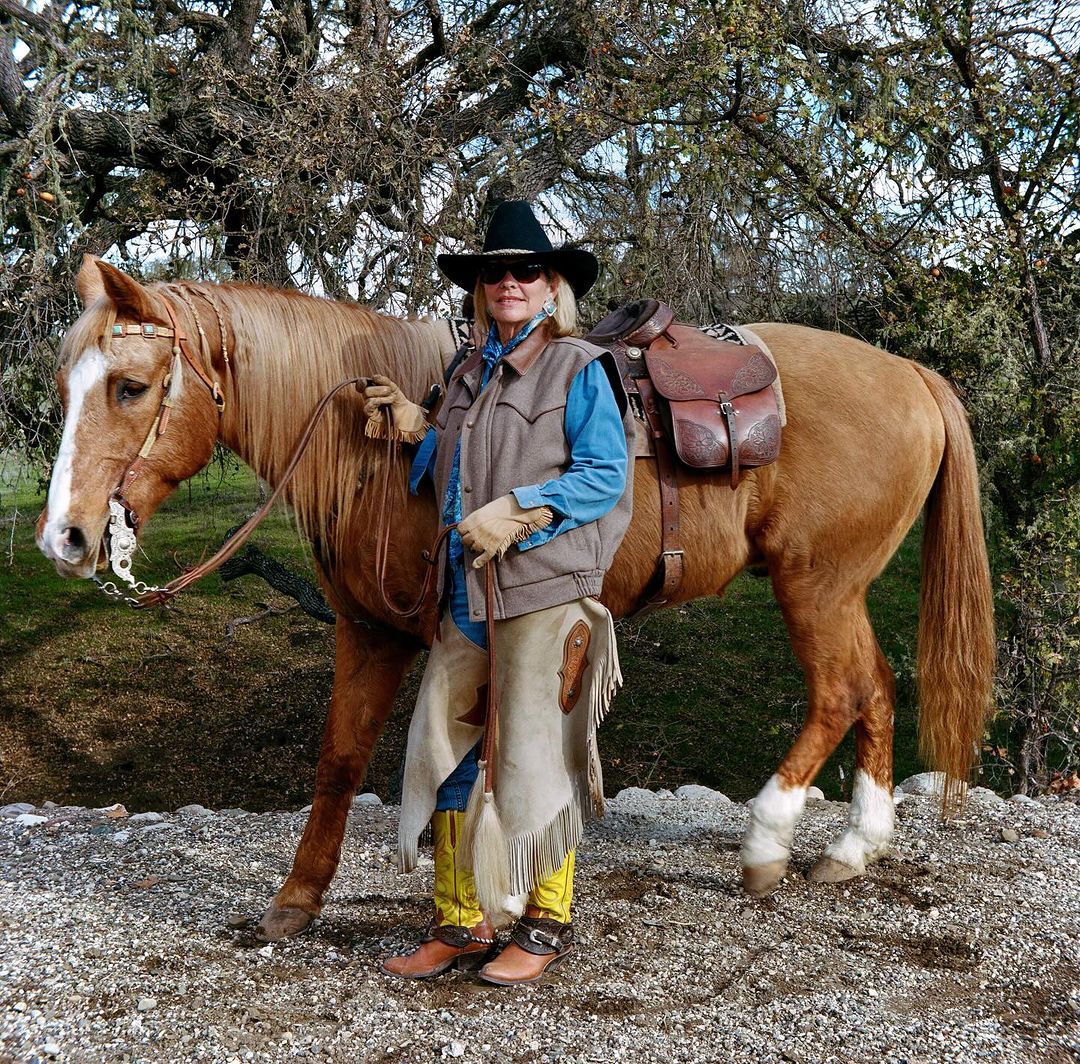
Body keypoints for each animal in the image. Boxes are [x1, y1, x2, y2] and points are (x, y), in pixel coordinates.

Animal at [37, 255, 995, 941]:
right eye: (62, 387)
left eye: (130, 386)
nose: (66, 538)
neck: (375, 460)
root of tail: (912, 374)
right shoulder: (368, 630)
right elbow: (340, 759)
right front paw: (297, 899)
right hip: (842, 590)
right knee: (876, 688)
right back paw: (855, 847)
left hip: (815, 586)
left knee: (839, 692)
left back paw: (767, 843)